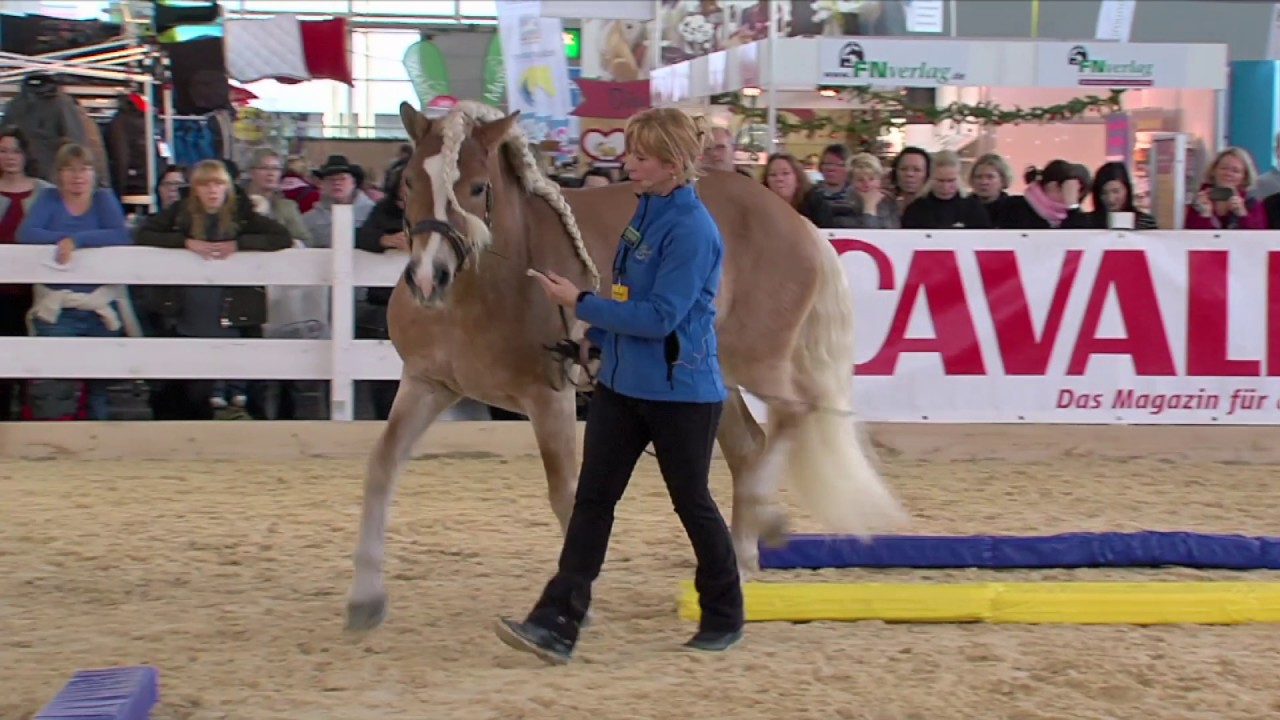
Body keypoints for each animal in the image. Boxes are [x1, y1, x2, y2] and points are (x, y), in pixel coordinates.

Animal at [345, 100, 907, 631]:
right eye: (409, 180)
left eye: (478, 186)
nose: (427, 278)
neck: (486, 287)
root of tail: (799, 222)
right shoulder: (427, 383)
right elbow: (381, 467)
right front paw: (365, 600)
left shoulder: (549, 396)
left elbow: (566, 493)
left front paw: (574, 608)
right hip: (715, 376)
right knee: (750, 444)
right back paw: (745, 556)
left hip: (759, 360)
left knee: (795, 413)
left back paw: (764, 519)